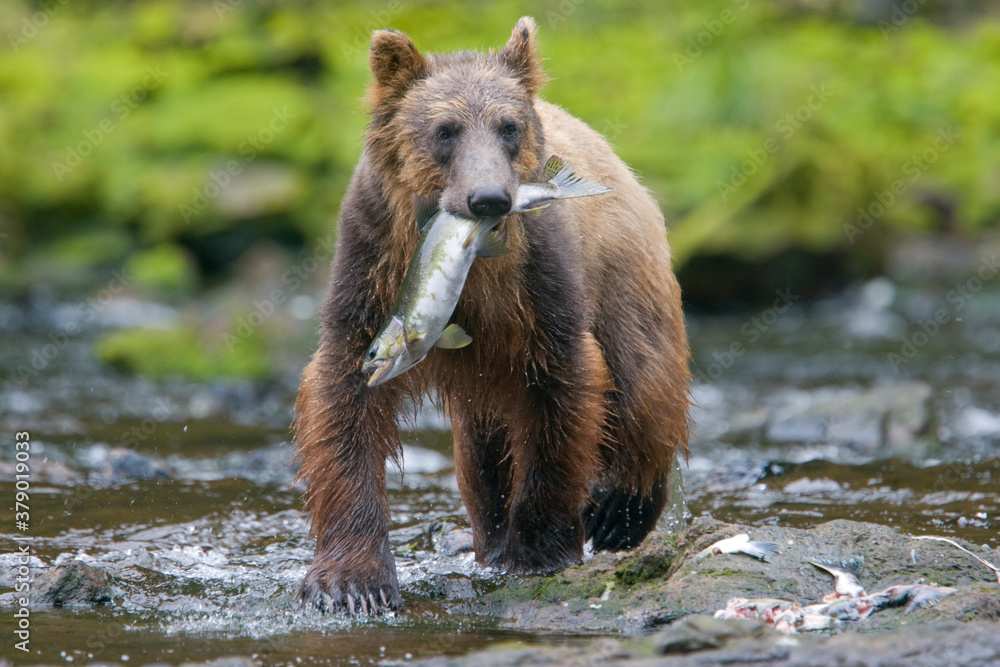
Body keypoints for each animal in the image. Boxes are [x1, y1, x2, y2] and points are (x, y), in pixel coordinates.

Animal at [293, 16, 691, 614]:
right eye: (445, 130)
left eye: (508, 126)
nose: (488, 199)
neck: (476, 268)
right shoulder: (371, 267)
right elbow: (344, 407)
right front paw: (352, 581)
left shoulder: (540, 287)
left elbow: (562, 395)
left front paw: (539, 548)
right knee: (483, 454)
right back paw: (494, 535)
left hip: (623, 277)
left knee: (640, 375)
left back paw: (619, 510)